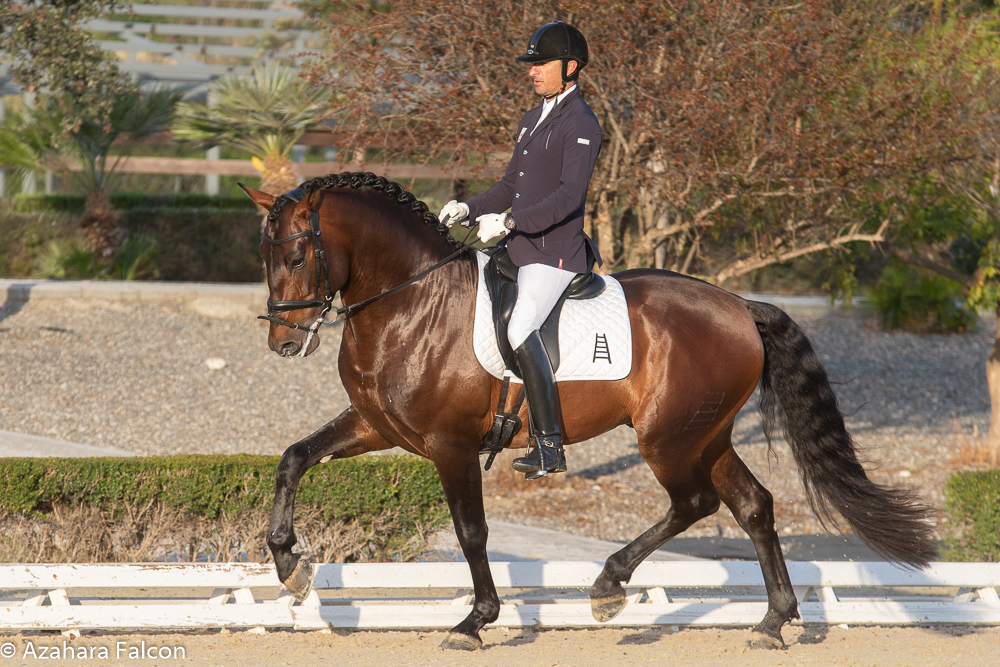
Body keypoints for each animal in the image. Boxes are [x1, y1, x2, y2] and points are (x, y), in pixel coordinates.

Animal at [242, 172, 936, 652]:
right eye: (264, 258)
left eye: (298, 257)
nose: (281, 343)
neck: (411, 302)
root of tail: (739, 305)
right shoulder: (376, 426)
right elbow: (293, 459)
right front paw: (289, 565)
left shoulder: (450, 445)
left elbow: (471, 531)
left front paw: (475, 621)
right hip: (705, 435)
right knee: (753, 506)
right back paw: (772, 621)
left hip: (666, 440)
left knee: (696, 503)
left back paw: (609, 587)